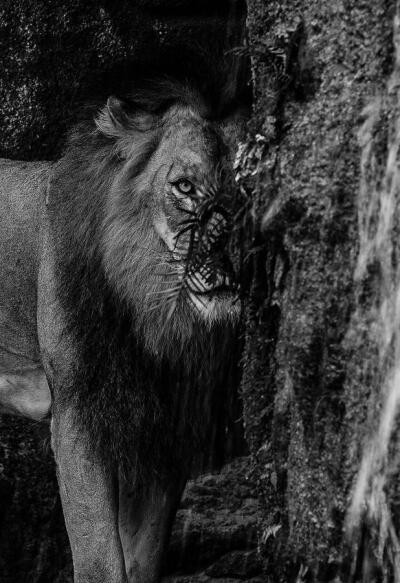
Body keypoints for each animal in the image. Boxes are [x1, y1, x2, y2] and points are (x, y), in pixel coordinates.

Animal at [0, 67, 247, 580]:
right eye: (184, 187)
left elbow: (142, 557)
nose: (228, 256)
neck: (153, 315)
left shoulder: (163, 425)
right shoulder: (77, 408)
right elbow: (100, 556)